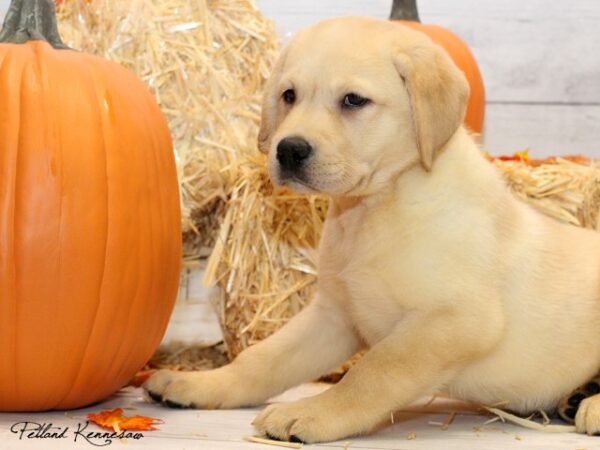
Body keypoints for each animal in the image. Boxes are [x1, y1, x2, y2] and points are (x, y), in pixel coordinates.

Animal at [144, 16, 600, 440]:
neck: (376, 207)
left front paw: (312, 413)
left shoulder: (454, 319)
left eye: (353, 100)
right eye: (289, 95)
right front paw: (201, 384)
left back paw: (589, 405)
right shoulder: (333, 315)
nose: (288, 149)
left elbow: (373, 372)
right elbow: (263, 357)